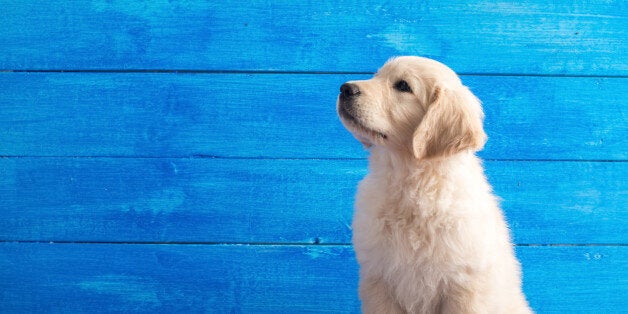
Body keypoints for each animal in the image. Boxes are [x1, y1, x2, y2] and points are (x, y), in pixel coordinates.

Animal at [336, 56, 532, 314]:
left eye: (403, 86)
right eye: (376, 76)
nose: (344, 88)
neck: (409, 180)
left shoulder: (464, 285)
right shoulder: (378, 280)